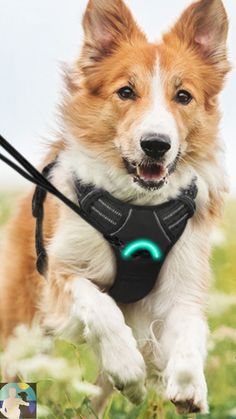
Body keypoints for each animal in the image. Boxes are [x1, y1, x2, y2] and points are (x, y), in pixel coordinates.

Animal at [0, 0, 230, 416]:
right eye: (126, 91)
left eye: (183, 96)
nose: (156, 144)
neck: (139, 207)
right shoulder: (61, 272)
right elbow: (100, 306)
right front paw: (128, 368)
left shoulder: (181, 281)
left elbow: (191, 328)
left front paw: (189, 385)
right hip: (21, 322)